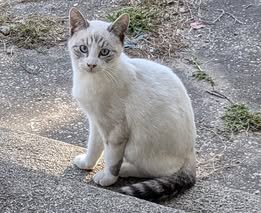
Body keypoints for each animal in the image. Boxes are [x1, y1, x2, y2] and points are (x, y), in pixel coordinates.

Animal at [68, 7, 196, 202]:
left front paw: (107, 179)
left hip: (136, 146)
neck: (89, 82)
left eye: (104, 52)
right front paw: (87, 164)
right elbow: (93, 147)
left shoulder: (115, 132)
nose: (91, 64)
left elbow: (111, 161)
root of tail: (191, 151)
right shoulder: (96, 122)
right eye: (83, 49)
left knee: (156, 171)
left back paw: (124, 169)